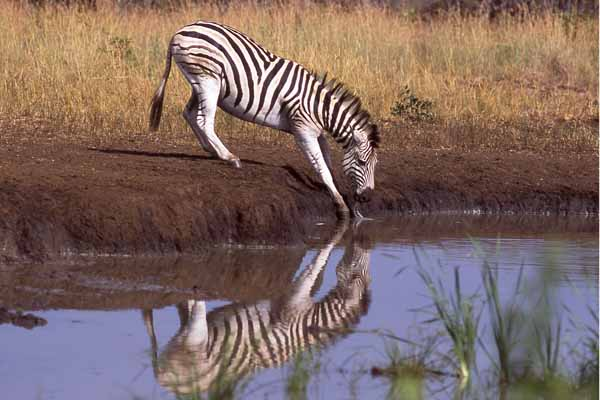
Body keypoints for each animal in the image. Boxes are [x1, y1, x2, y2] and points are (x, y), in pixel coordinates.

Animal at [143, 223, 372, 396]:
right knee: (195, 312)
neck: (312, 321)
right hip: (193, 342)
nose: (363, 245)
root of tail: (165, 382)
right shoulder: (291, 302)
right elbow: (317, 264)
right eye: (357, 271)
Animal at [149, 20, 380, 217]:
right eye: (361, 162)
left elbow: (328, 161)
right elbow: (320, 165)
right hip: (208, 80)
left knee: (189, 114)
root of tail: (180, 30)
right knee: (205, 121)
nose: (367, 198)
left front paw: (336, 189)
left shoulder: (318, 132)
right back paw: (229, 157)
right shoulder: (303, 130)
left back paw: (211, 150)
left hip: (199, 82)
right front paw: (340, 203)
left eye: (374, 164)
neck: (319, 108)